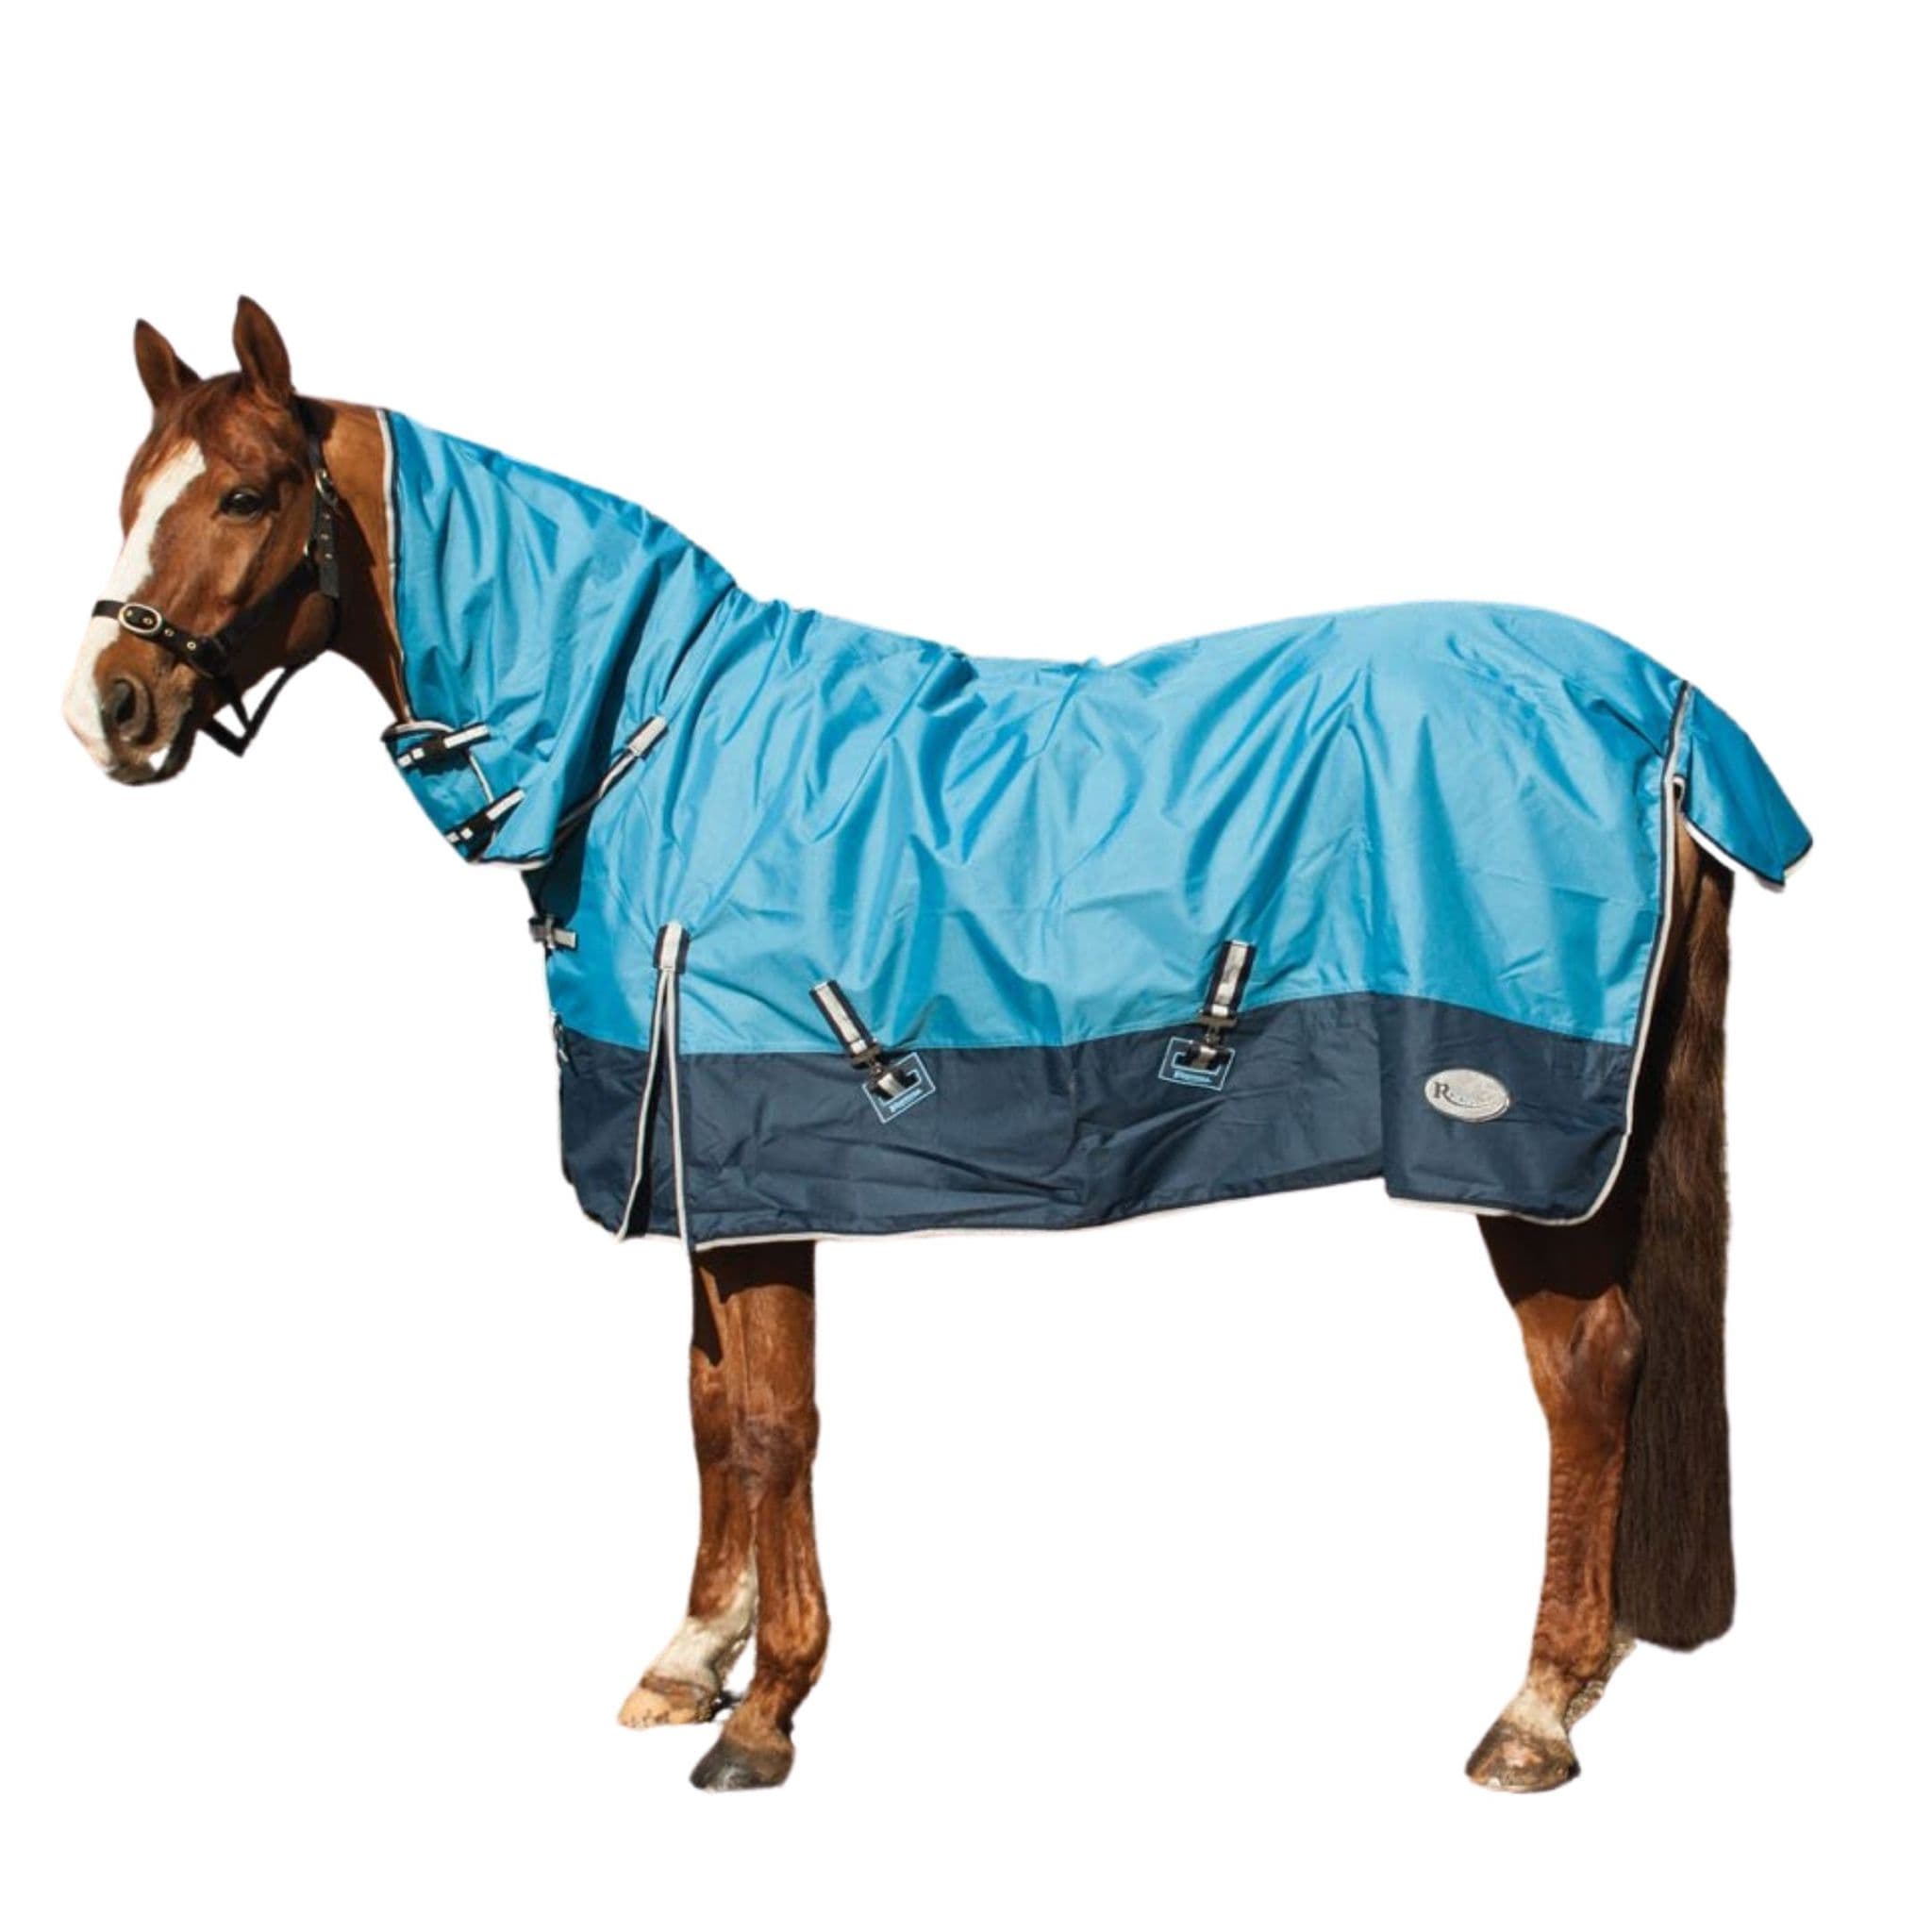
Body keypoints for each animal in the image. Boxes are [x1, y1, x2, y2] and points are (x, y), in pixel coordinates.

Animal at [61, 297, 1807, 1794]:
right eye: (133, 492)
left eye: (246, 495)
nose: (110, 708)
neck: (647, 740)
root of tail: (1665, 711)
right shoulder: (695, 1161)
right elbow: (707, 1406)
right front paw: (687, 1659)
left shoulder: (761, 1168)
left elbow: (775, 1422)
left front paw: (764, 1713)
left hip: (1516, 1142)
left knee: (1586, 1373)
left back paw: (1533, 1712)